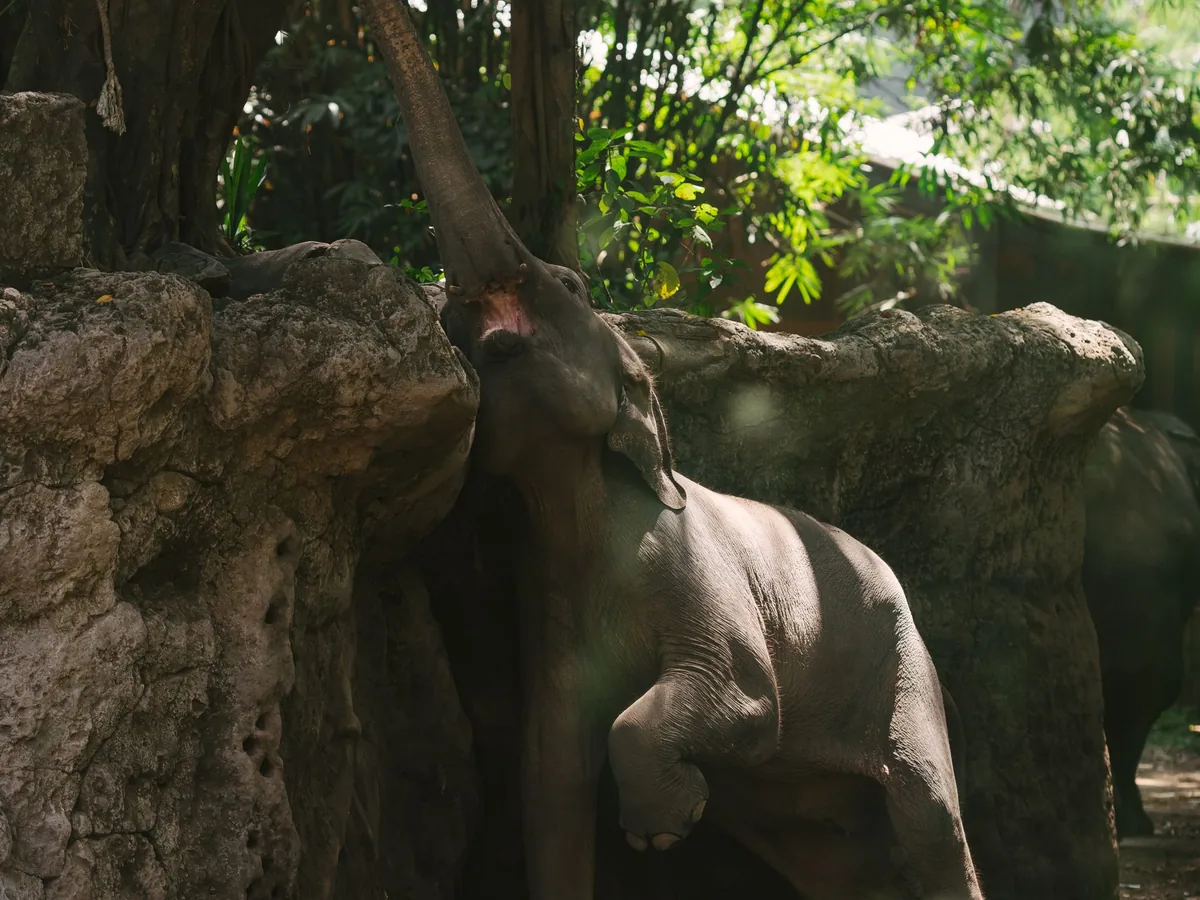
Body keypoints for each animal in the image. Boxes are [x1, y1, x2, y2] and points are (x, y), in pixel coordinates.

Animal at [362, 1, 984, 897]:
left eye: (572, 285)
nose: (453, 301)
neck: (576, 498)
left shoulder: (695, 574)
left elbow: (746, 703)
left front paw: (663, 829)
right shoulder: (550, 615)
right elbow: (549, 779)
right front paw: (649, 820)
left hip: (904, 669)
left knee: (930, 818)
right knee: (840, 859)